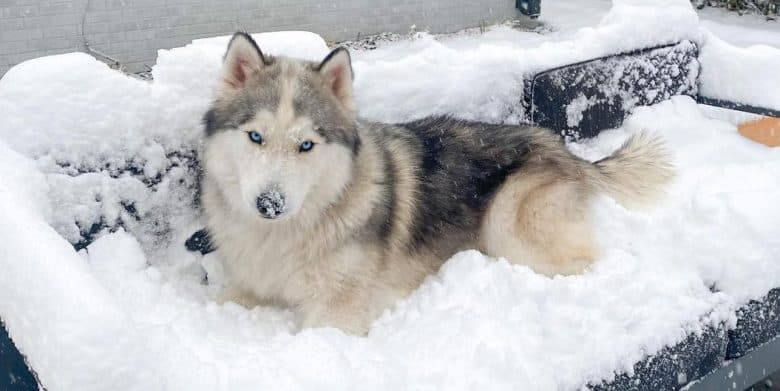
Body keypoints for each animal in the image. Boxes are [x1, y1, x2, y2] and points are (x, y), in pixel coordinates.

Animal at [198, 32, 672, 336]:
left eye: (306, 145)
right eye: (255, 137)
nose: (269, 203)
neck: (285, 233)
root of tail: (562, 148)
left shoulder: (337, 312)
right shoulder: (250, 284)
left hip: (510, 225)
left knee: (592, 259)